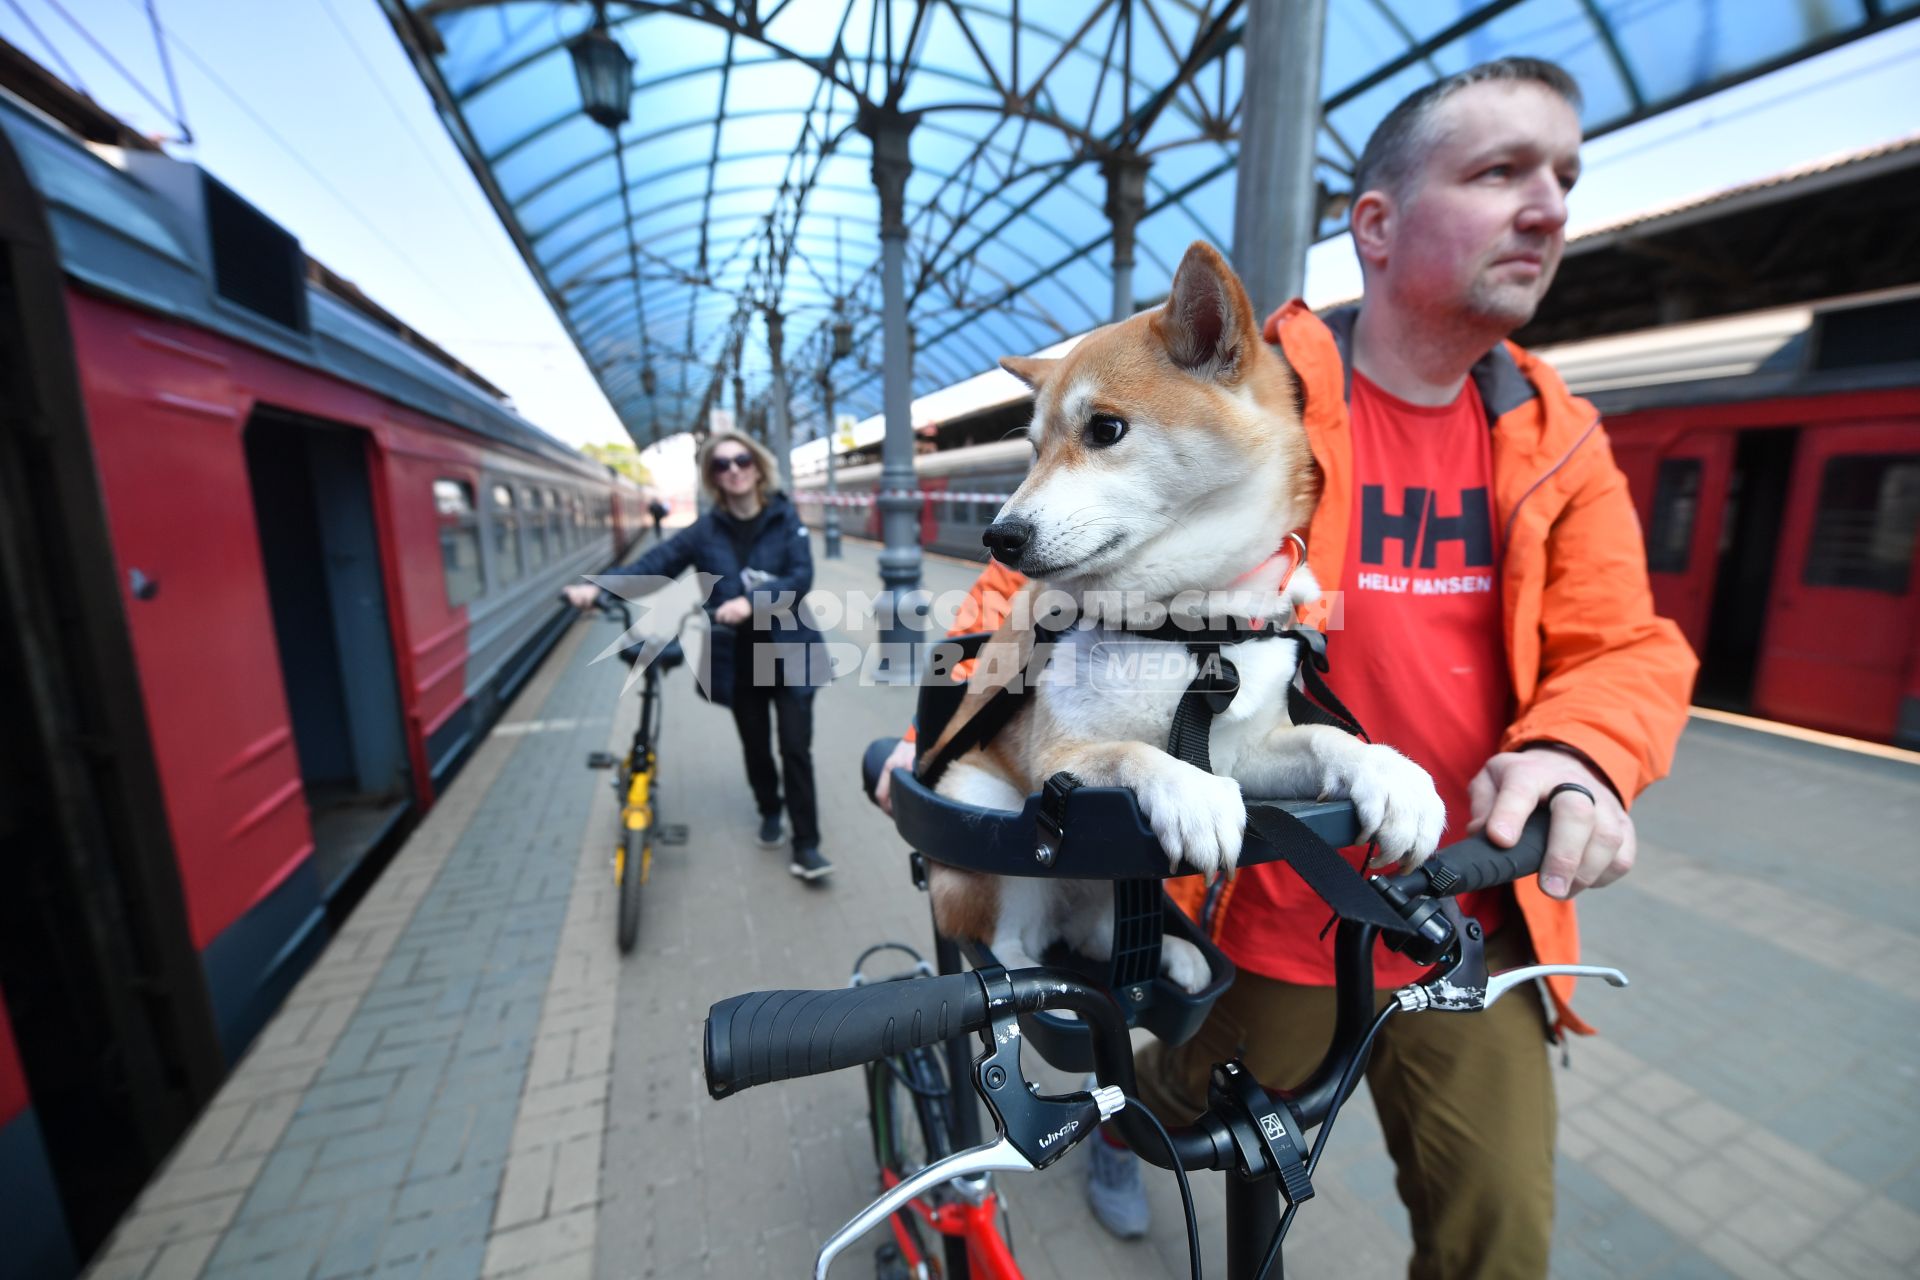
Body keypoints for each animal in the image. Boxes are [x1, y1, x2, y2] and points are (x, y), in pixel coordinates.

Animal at [913, 245, 1443, 997]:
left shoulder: (1247, 752)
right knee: (1010, 943)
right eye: (1034, 449)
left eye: (1106, 429)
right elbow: (1133, 753)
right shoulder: (1058, 758)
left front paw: (1388, 772)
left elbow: (1322, 740)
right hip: (983, 811)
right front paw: (1191, 791)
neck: (1192, 629)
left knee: (1103, 933)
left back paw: (1169, 954)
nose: (999, 537)